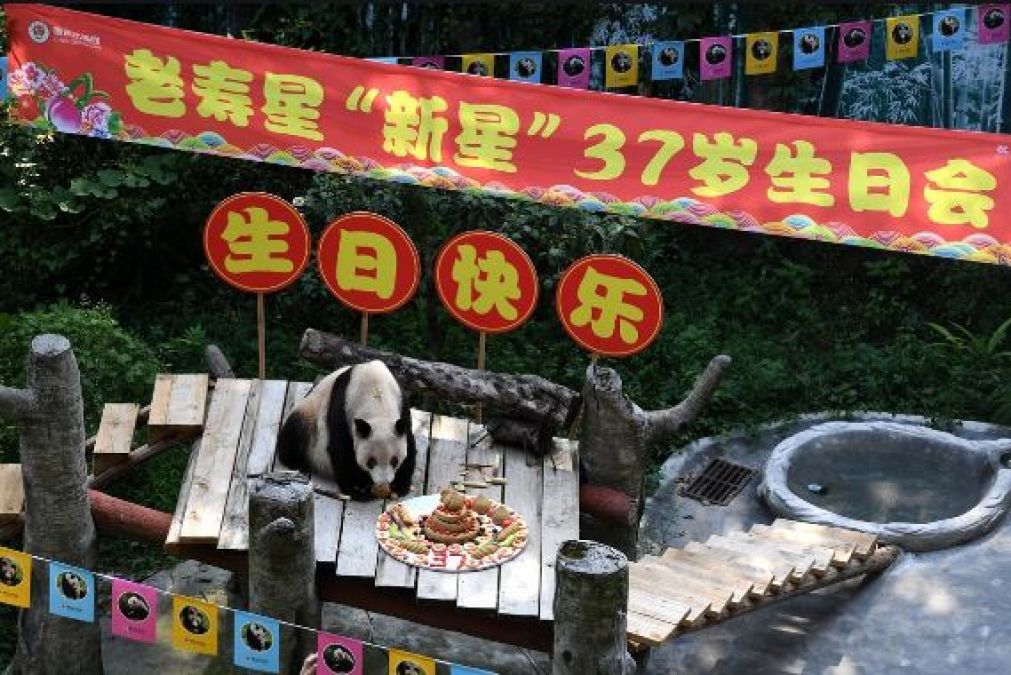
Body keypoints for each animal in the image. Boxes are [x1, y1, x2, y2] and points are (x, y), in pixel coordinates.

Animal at [277, 363, 414, 501]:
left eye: (394, 460)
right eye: (371, 462)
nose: (383, 482)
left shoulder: (401, 402)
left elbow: (409, 441)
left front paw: (399, 486)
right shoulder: (342, 404)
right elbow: (340, 447)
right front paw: (358, 489)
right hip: (309, 417)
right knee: (294, 432)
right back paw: (298, 463)